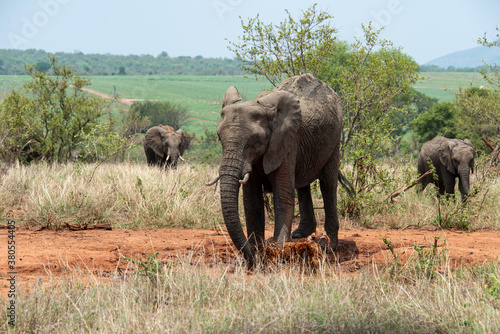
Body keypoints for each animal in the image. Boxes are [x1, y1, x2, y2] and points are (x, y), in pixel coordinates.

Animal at [205, 73, 342, 266]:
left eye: (255, 139)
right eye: (218, 137)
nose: (254, 262)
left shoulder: (287, 139)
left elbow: (282, 195)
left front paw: (278, 249)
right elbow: (251, 200)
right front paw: (257, 251)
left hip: (335, 138)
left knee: (328, 184)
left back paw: (328, 246)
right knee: (303, 186)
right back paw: (301, 235)